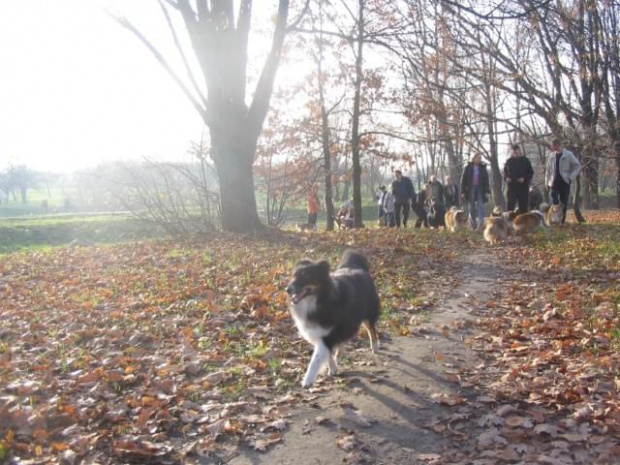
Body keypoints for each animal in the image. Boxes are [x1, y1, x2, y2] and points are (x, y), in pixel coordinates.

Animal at [286, 250, 382, 388]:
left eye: (305, 277)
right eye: (293, 276)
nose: (287, 290)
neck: (318, 300)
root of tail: (357, 267)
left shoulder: (328, 334)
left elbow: (315, 360)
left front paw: (307, 380)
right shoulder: (324, 334)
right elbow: (328, 355)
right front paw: (333, 368)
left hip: (368, 315)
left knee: (372, 330)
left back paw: (374, 347)